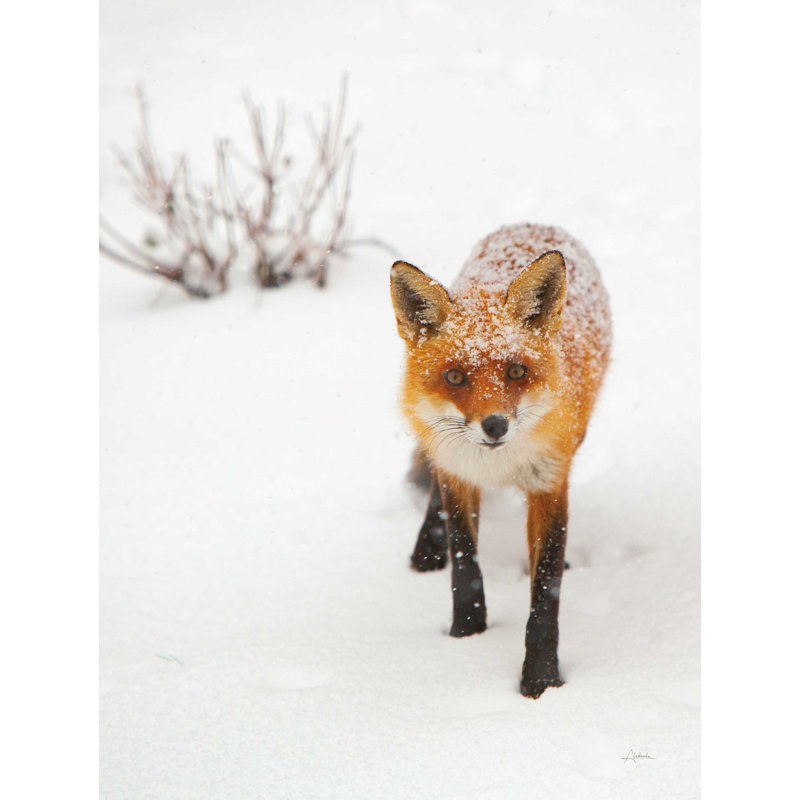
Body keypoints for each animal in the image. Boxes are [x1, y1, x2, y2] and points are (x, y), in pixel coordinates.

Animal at [390, 223, 611, 698]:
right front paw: (466, 634)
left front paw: (542, 679)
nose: (494, 426)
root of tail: (533, 223)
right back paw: (426, 549)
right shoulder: (459, 476)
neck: (498, 467)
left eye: (516, 372)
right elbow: (464, 564)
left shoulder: (550, 481)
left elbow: (546, 591)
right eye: (455, 377)